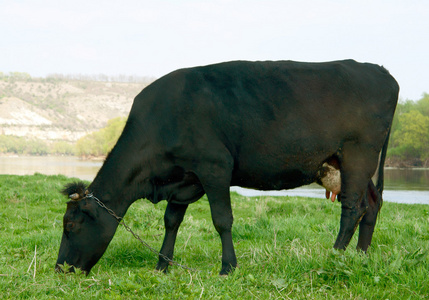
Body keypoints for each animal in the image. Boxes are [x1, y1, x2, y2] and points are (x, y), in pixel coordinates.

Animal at [56, 59, 398, 276]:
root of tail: (378, 70)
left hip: (358, 154)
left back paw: (335, 256)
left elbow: (222, 220)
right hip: (348, 164)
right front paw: (162, 266)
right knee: (371, 204)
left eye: (70, 225)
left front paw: (227, 267)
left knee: (352, 208)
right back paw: (360, 256)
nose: (60, 269)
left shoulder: (215, 167)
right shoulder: (184, 179)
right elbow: (171, 221)